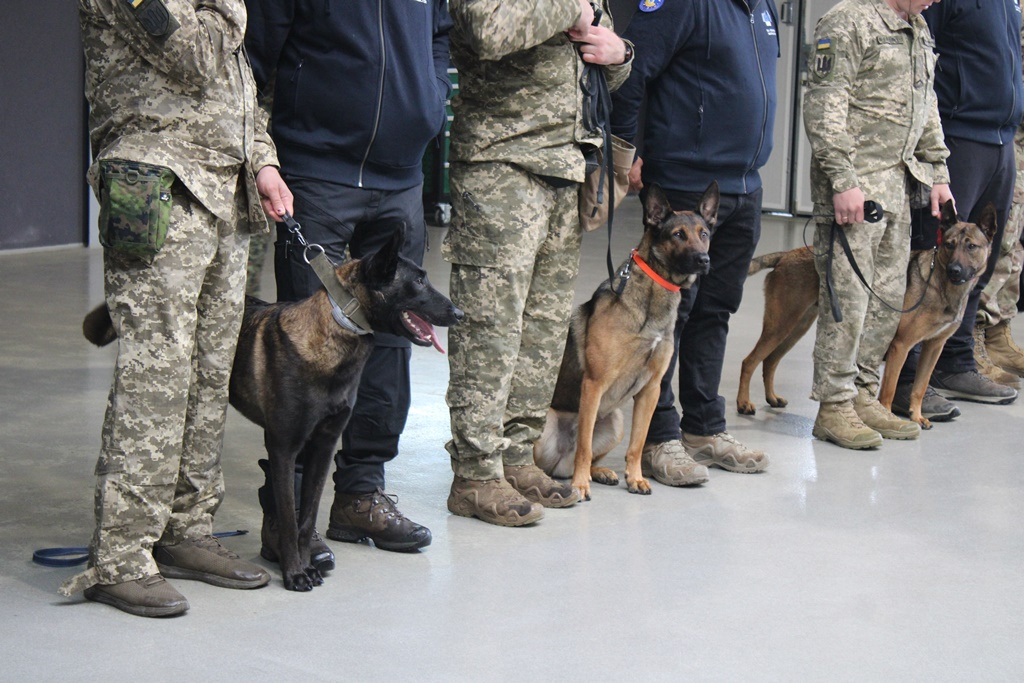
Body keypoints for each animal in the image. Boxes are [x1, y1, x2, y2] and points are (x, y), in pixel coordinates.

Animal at [83, 226, 462, 591]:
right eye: (418, 282)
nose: (459, 312)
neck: (337, 327)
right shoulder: (283, 449)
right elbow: (289, 517)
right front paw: (295, 573)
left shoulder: (322, 447)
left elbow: (307, 516)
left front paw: (308, 562)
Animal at [533, 182, 716, 501]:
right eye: (678, 234)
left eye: (703, 234)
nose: (703, 261)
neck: (655, 292)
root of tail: (559, 459)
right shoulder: (594, 384)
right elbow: (584, 447)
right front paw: (581, 486)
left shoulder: (651, 390)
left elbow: (638, 444)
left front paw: (635, 478)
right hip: (548, 426)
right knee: (562, 455)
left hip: (616, 421)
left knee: (582, 458)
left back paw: (600, 472)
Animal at [736, 200, 996, 429]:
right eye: (949, 244)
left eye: (971, 246)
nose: (955, 270)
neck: (940, 283)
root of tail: (786, 255)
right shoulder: (901, 346)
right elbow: (889, 389)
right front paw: (888, 416)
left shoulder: (934, 347)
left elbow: (920, 388)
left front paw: (917, 417)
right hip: (780, 325)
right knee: (750, 361)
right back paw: (743, 402)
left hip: (796, 328)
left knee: (769, 361)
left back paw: (772, 397)